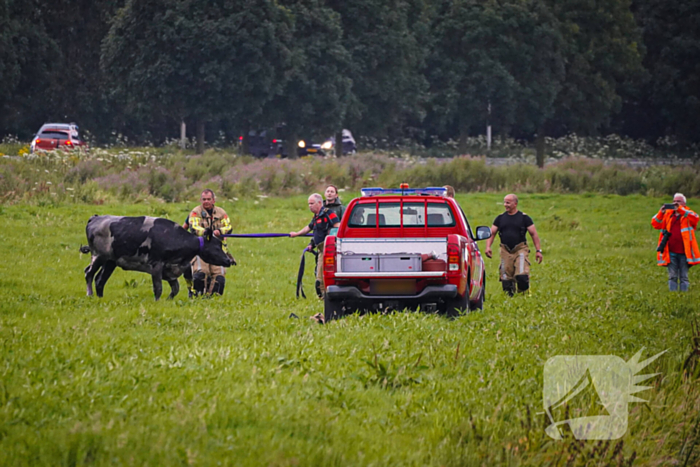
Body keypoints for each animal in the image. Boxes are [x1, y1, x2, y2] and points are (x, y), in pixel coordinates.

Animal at [82, 215, 234, 300]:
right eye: (216, 247)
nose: (229, 261)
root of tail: (96, 217)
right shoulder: (156, 266)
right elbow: (158, 288)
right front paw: (158, 301)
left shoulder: (170, 271)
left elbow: (176, 289)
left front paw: (168, 300)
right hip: (98, 256)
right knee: (89, 273)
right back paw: (90, 295)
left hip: (110, 261)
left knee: (100, 280)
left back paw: (100, 298)